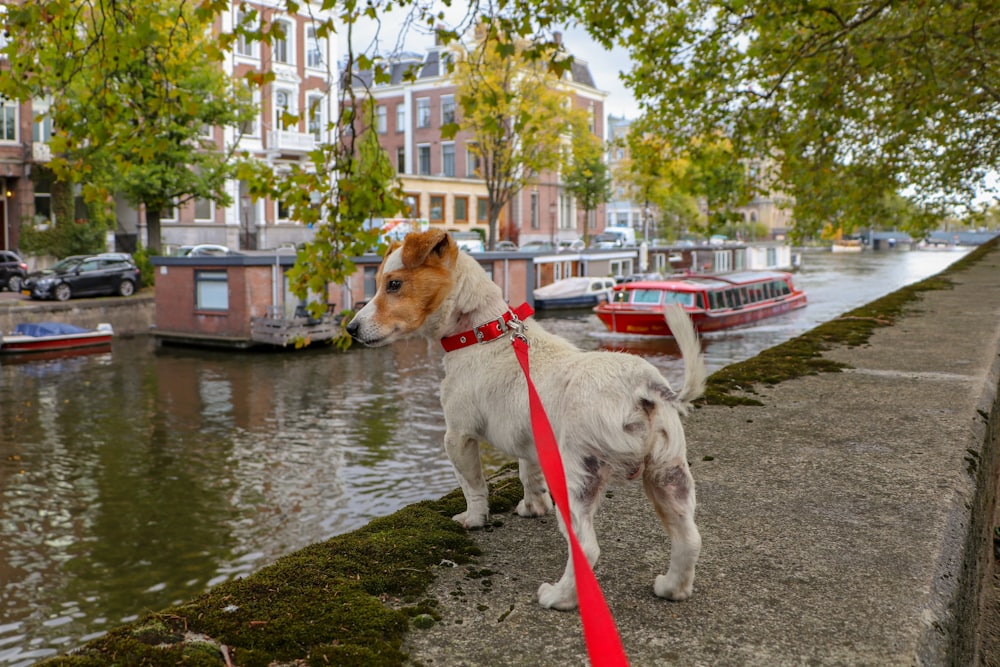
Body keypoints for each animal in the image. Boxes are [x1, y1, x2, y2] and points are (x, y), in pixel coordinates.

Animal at [348, 230, 708, 612]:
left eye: (394, 284)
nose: (351, 328)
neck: (483, 333)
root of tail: (640, 384)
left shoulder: (457, 437)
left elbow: (473, 487)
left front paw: (474, 520)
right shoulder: (530, 441)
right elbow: (529, 476)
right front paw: (533, 508)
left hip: (579, 478)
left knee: (586, 548)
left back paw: (559, 597)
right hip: (669, 477)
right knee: (689, 539)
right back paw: (672, 588)